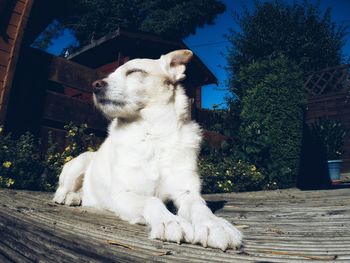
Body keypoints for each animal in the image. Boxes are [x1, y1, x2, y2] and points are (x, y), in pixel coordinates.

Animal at [53, 50, 242, 252]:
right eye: (110, 74)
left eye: (134, 71)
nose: (95, 85)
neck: (153, 135)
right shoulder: (123, 195)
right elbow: (151, 200)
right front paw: (170, 221)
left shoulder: (187, 191)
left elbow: (199, 205)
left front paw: (214, 225)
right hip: (81, 162)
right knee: (62, 188)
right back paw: (65, 196)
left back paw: (76, 197)